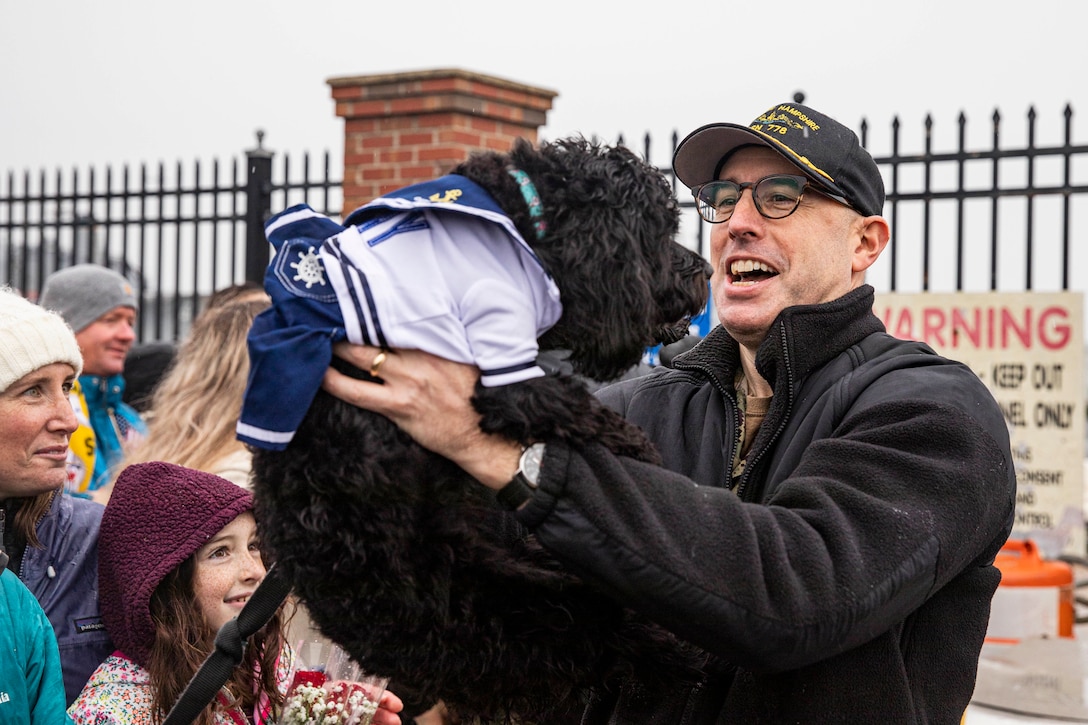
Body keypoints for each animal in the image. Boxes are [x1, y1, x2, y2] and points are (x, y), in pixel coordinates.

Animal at [248, 135, 713, 718]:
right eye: (659, 231)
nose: (706, 270)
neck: (528, 221)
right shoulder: (501, 370)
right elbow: (574, 404)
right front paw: (637, 446)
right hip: (519, 615)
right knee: (608, 635)